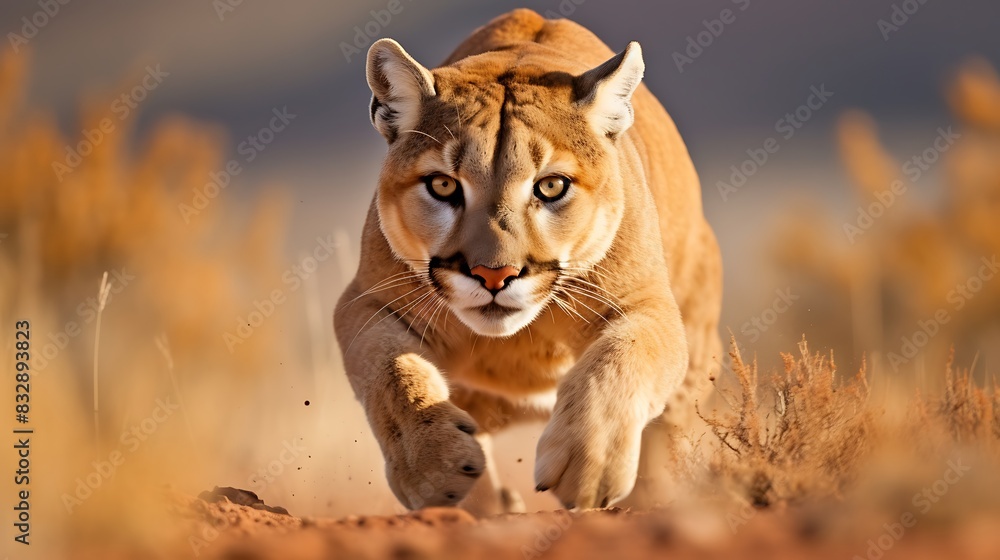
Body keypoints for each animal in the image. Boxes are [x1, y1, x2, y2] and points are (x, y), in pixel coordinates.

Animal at [334, 8, 722, 514]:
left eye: (551, 186)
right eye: (443, 186)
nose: (493, 274)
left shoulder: (647, 303)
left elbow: (621, 357)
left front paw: (588, 466)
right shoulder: (365, 300)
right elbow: (391, 370)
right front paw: (435, 467)